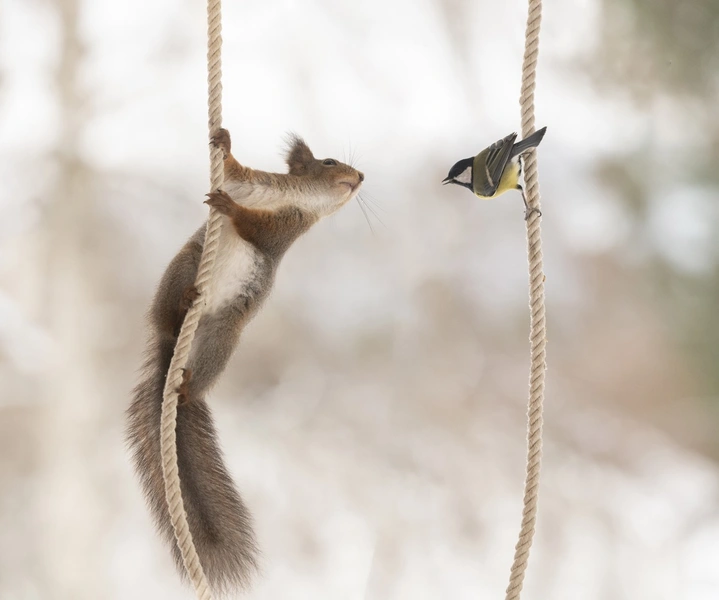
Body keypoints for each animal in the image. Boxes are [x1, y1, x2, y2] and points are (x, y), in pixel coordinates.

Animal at [125, 129, 366, 592]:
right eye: (329, 161)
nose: (360, 177)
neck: (298, 197)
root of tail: (173, 350)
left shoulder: (286, 228)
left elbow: (256, 227)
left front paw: (231, 209)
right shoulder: (254, 181)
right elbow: (234, 168)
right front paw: (223, 140)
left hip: (224, 334)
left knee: (197, 369)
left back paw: (186, 389)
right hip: (183, 267)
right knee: (168, 311)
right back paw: (182, 305)